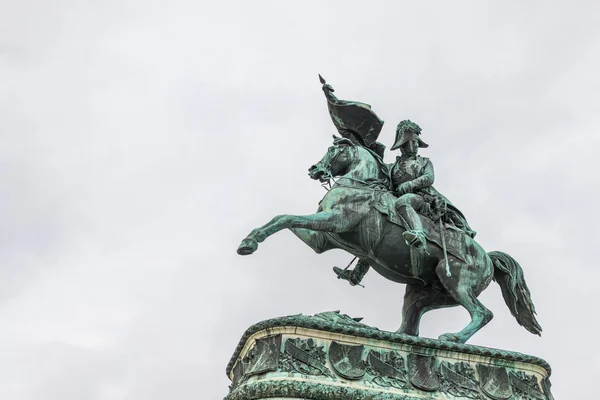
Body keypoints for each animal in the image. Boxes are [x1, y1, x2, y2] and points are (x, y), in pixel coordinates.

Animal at [237, 138, 540, 344]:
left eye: (333, 149)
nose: (314, 169)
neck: (359, 185)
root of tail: (488, 257)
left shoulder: (336, 220)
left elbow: (287, 217)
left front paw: (250, 241)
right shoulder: (321, 239)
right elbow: (284, 218)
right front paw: (249, 241)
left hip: (455, 281)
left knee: (482, 313)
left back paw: (454, 338)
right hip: (421, 294)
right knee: (408, 332)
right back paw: (361, 328)